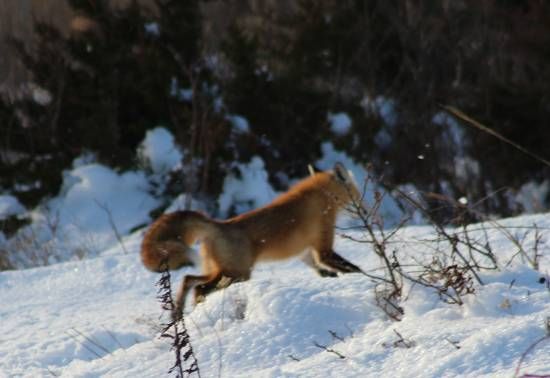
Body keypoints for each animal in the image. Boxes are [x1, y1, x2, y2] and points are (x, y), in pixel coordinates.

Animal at [142, 162, 364, 318]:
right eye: (357, 194)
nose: (364, 210)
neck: (321, 199)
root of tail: (217, 224)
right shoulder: (323, 248)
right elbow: (353, 268)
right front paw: (361, 278)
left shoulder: (306, 252)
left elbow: (322, 270)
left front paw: (330, 279)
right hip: (237, 274)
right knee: (199, 288)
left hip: (220, 271)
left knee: (189, 280)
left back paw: (181, 313)